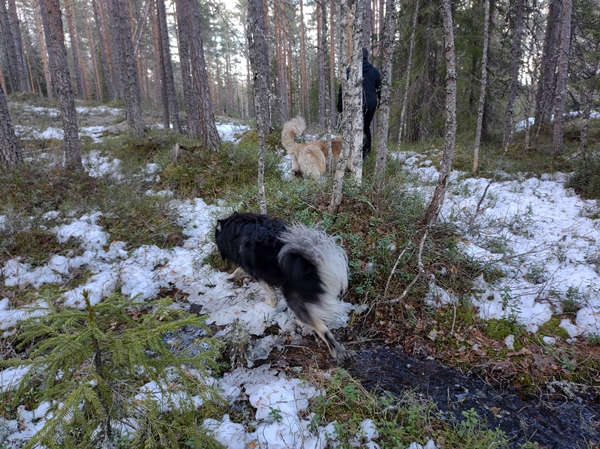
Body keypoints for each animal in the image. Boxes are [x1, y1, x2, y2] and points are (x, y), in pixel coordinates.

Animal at [214, 212, 346, 358]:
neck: (235, 228)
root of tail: (314, 265)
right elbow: (239, 271)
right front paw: (229, 279)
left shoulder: (256, 272)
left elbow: (269, 292)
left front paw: (270, 304)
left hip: (294, 298)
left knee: (321, 328)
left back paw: (334, 349)